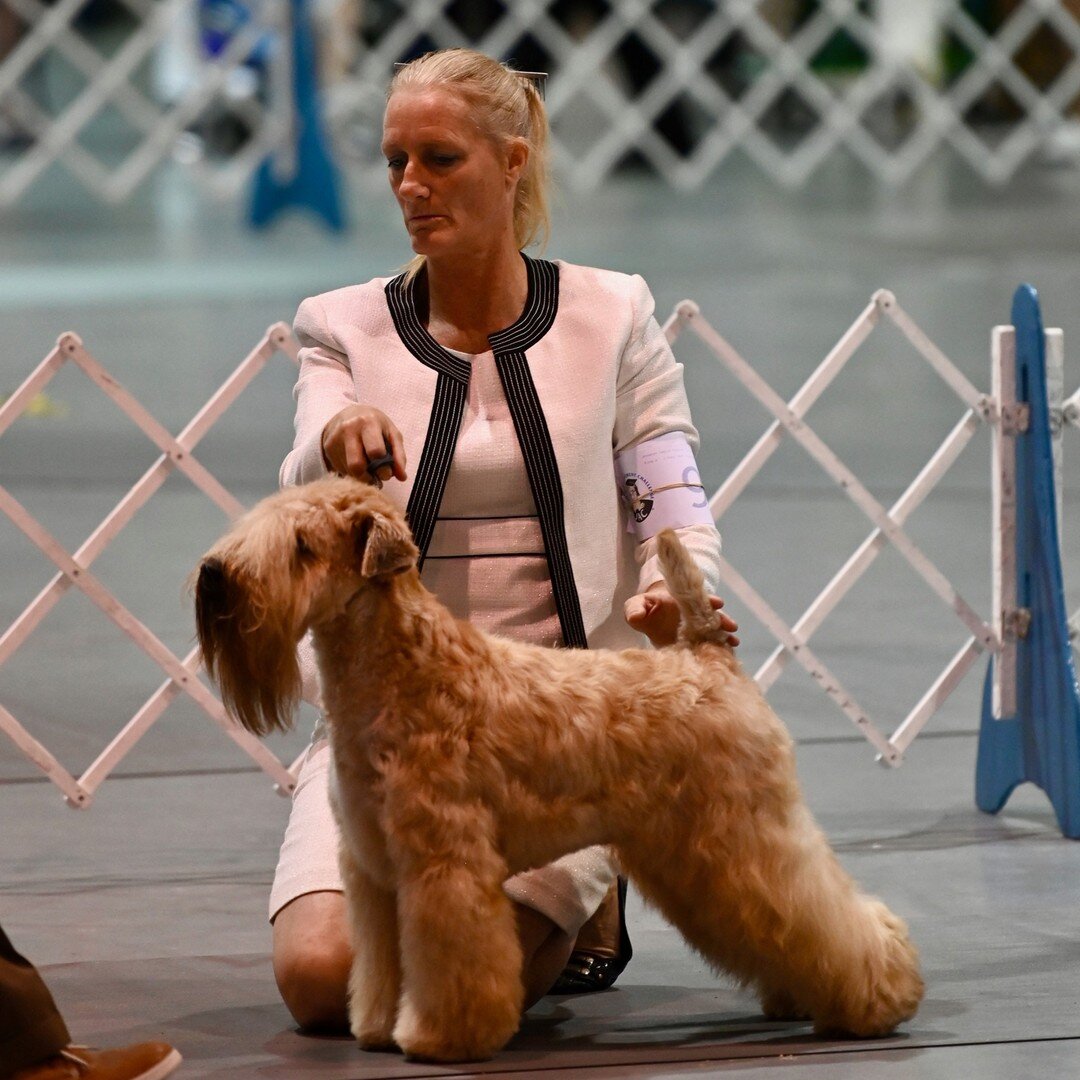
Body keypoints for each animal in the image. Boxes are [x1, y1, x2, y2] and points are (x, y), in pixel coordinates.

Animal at [194, 477, 920, 1058]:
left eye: (302, 547)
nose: (215, 577)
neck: (405, 669)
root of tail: (708, 657)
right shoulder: (374, 869)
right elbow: (381, 962)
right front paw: (375, 1026)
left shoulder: (443, 866)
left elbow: (449, 959)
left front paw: (439, 1037)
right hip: (696, 857)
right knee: (780, 924)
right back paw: (799, 996)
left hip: (741, 835)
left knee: (828, 916)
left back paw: (879, 996)